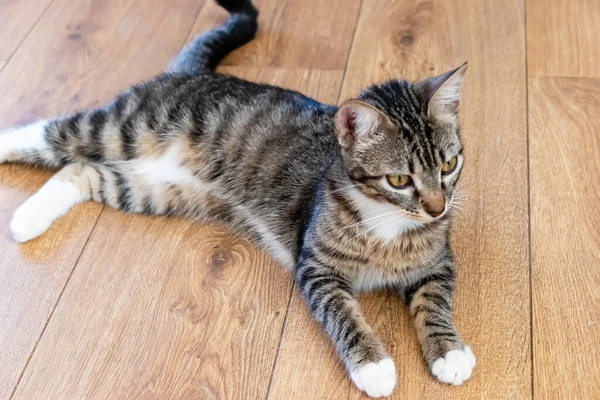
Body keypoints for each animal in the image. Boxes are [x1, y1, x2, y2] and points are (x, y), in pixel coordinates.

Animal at [1, 0, 478, 396]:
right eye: (399, 179)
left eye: (449, 165)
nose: (438, 207)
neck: (388, 224)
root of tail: (194, 73)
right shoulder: (316, 267)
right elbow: (342, 312)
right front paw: (373, 365)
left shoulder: (437, 262)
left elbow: (435, 300)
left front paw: (449, 351)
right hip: (125, 127)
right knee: (58, 134)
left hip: (157, 189)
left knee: (80, 171)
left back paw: (28, 220)